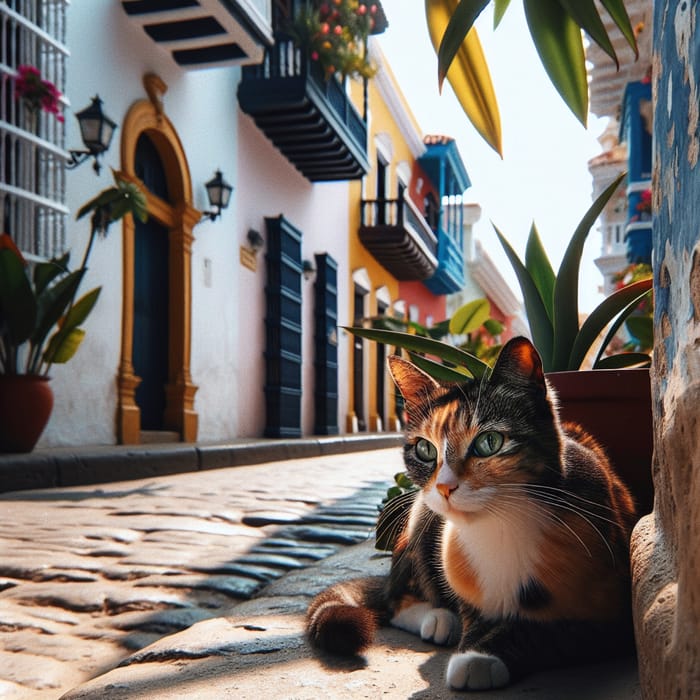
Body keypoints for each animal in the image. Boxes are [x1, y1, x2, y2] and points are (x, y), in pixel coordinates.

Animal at [304, 336, 636, 692]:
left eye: (489, 442)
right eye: (425, 449)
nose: (444, 486)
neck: (502, 528)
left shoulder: (613, 616)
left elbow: (554, 633)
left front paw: (482, 657)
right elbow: (473, 617)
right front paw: (473, 647)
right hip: (419, 517)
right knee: (394, 601)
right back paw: (437, 618)